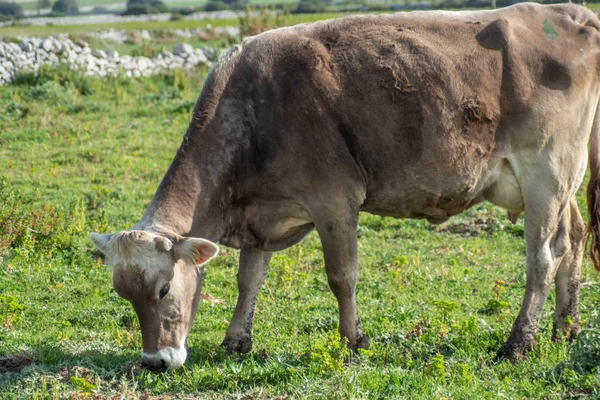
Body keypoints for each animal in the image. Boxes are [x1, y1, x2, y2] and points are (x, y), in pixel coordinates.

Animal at [90, 2, 600, 372]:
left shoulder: (334, 199)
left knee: (542, 258)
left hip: (547, 170)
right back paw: (565, 329)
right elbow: (248, 278)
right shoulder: (262, 212)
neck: (252, 111)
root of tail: (569, 13)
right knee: (572, 240)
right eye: (122, 294)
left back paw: (517, 344)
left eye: (163, 290)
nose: (155, 362)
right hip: (560, 182)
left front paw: (353, 342)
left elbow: (342, 276)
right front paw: (236, 340)